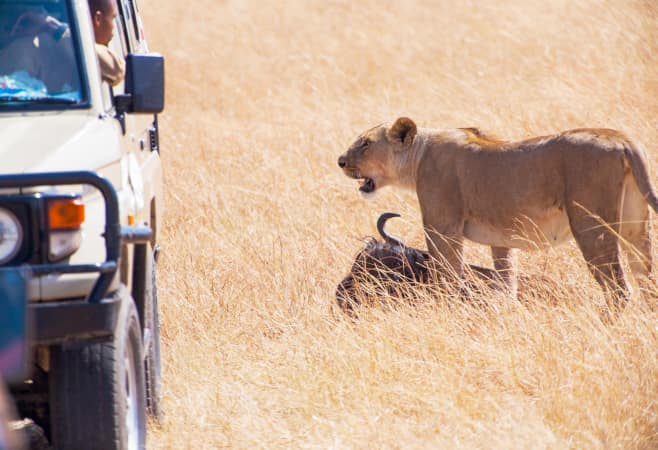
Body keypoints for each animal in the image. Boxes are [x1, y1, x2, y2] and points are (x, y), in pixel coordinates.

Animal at [337, 117, 658, 312]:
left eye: (365, 143)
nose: (340, 161)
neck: (418, 155)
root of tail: (622, 139)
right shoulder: (501, 239)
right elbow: (506, 283)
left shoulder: (442, 227)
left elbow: (447, 278)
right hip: (635, 227)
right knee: (647, 282)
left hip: (591, 226)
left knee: (619, 290)